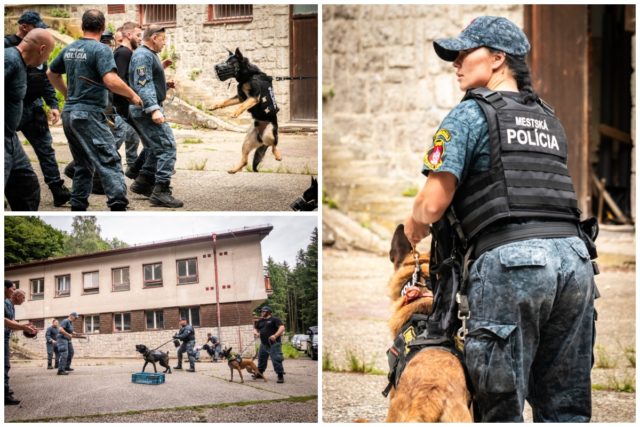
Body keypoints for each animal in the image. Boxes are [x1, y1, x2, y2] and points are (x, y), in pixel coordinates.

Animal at [211, 46, 282, 174]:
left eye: (230, 63)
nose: (216, 67)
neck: (248, 75)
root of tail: (260, 138)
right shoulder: (240, 98)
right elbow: (225, 101)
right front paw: (215, 106)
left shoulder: (253, 98)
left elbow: (242, 106)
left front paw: (235, 113)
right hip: (247, 142)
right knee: (245, 160)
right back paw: (234, 169)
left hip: (270, 134)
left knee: (274, 146)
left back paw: (278, 155)